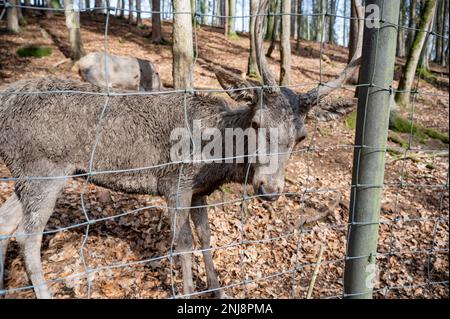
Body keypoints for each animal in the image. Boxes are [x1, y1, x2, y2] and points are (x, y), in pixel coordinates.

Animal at [0, 0, 360, 300]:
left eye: (301, 136)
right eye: (257, 122)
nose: (269, 188)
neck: (218, 160)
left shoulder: (200, 191)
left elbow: (207, 239)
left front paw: (218, 290)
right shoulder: (175, 183)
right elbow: (184, 243)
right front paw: (187, 292)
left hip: (25, 175)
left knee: (6, 225)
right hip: (44, 170)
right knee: (27, 237)